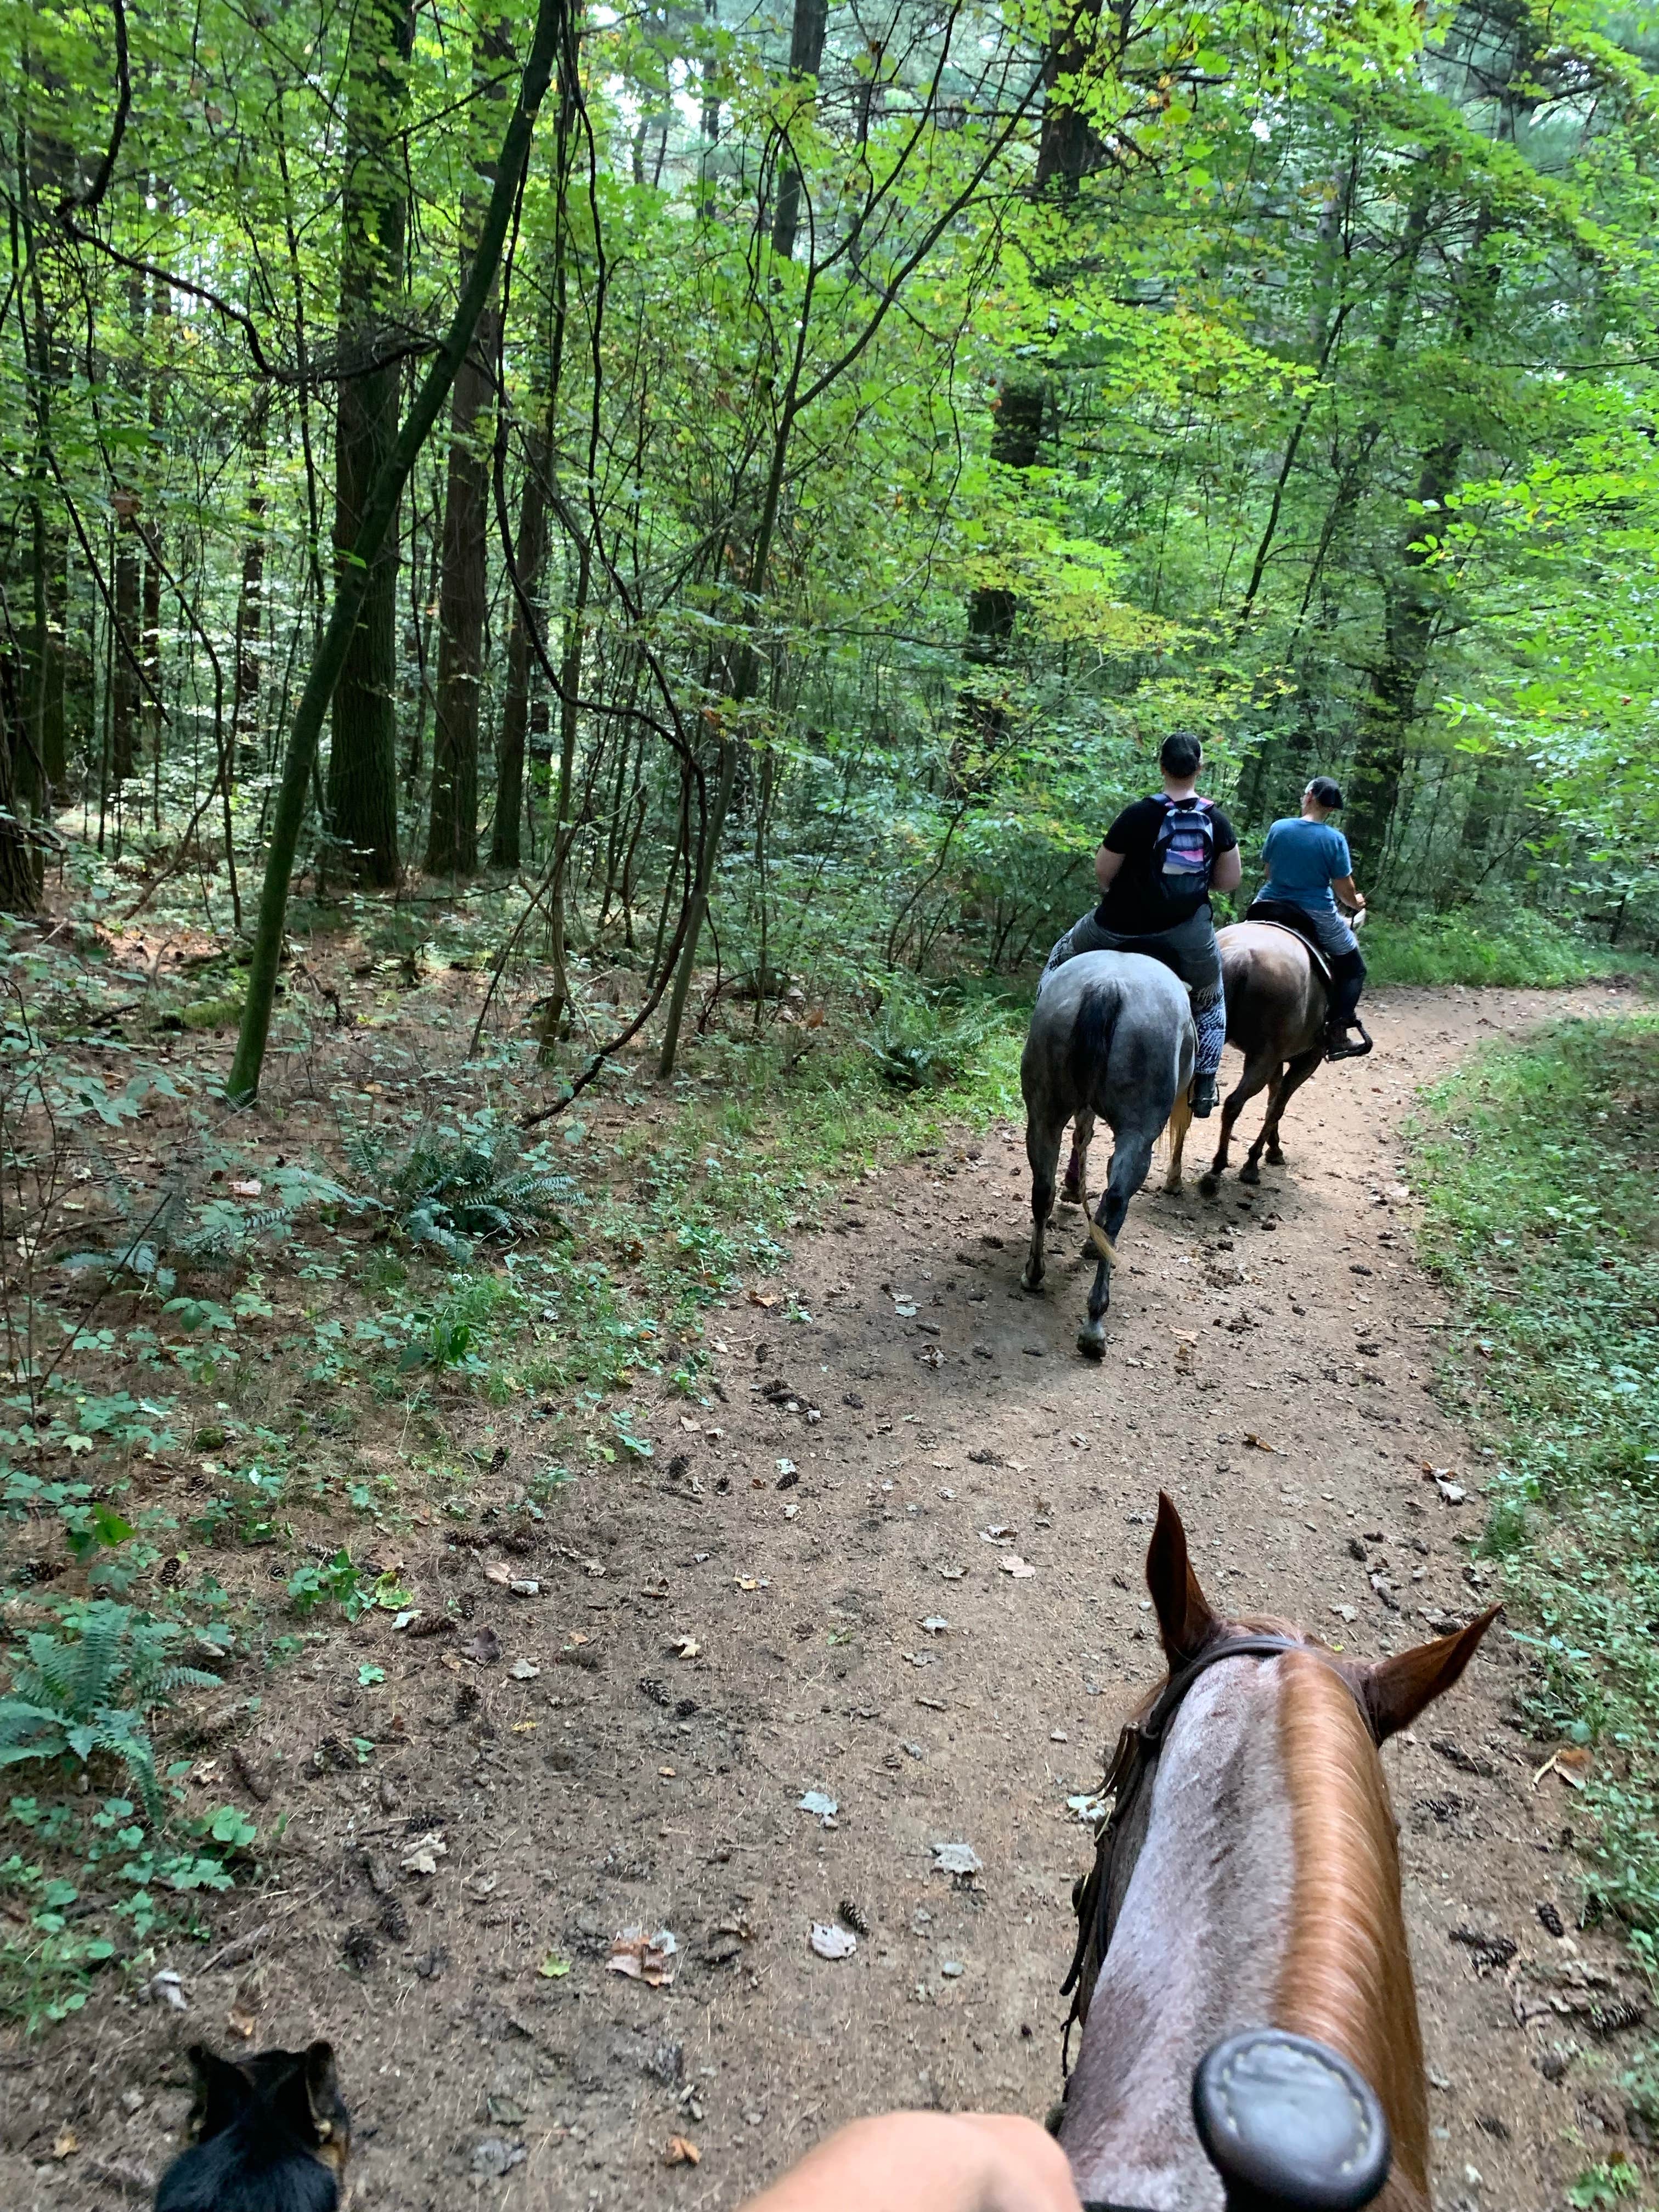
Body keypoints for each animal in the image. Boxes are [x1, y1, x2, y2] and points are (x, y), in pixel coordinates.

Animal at [1020, 952, 1194, 1358]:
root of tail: (1108, 986)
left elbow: (1083, 1135)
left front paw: (1074, 1189)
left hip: (1044, 1111)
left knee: (1042, 1190)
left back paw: (1034, 1273)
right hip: (1138, 1131)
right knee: (1116, 1204)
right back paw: (1094, 1323)